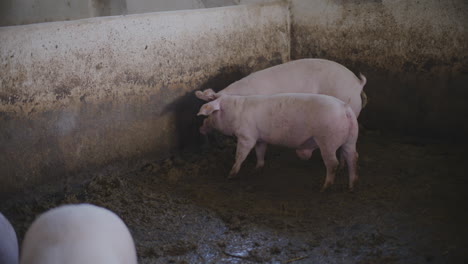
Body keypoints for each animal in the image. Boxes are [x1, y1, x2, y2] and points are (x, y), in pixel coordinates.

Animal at [197, 94, 358, 191]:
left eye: (211, 114)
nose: (201, 127)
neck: (235, 113)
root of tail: (345, 109)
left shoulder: (246, 136)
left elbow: (240, 155)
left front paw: (230, 175)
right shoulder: (260, 138)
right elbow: (260, 152)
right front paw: (256, 169)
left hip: (327, 140)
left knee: (333, 163)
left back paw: (324, 188)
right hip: (351, 138)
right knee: (352, 157)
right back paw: (351, 186)